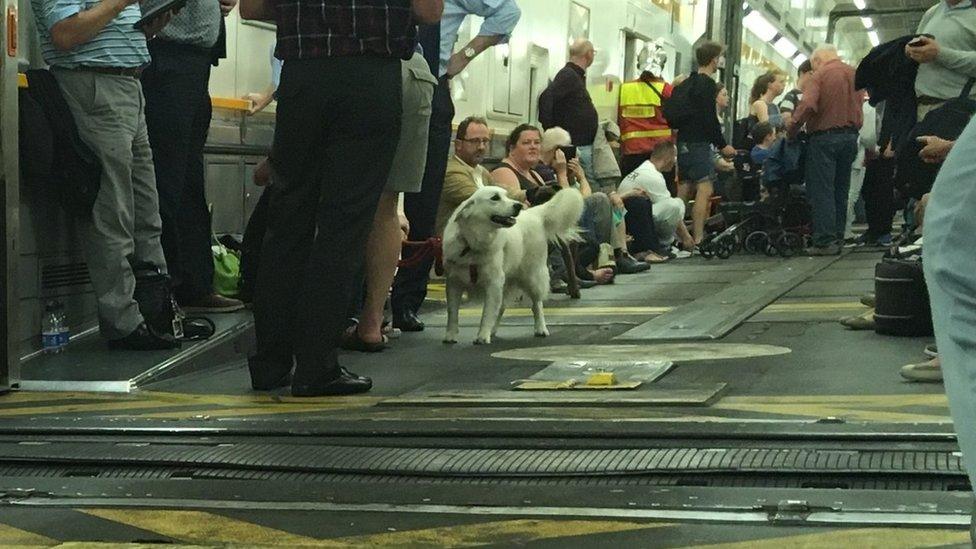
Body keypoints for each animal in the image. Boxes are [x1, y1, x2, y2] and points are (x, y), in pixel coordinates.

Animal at [446, 186, 584, 344]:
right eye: (495, 198)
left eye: (506, 195)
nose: (519, 205)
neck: (473, 244)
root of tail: (533, 213)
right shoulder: (454, 283)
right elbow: (452, 313)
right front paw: (450, 335)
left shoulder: (493, 283)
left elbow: (487, 313)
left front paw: (482, 336)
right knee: (501, 307)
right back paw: (493, 330)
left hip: (532, 277)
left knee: (537, 305)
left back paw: (541, 328)